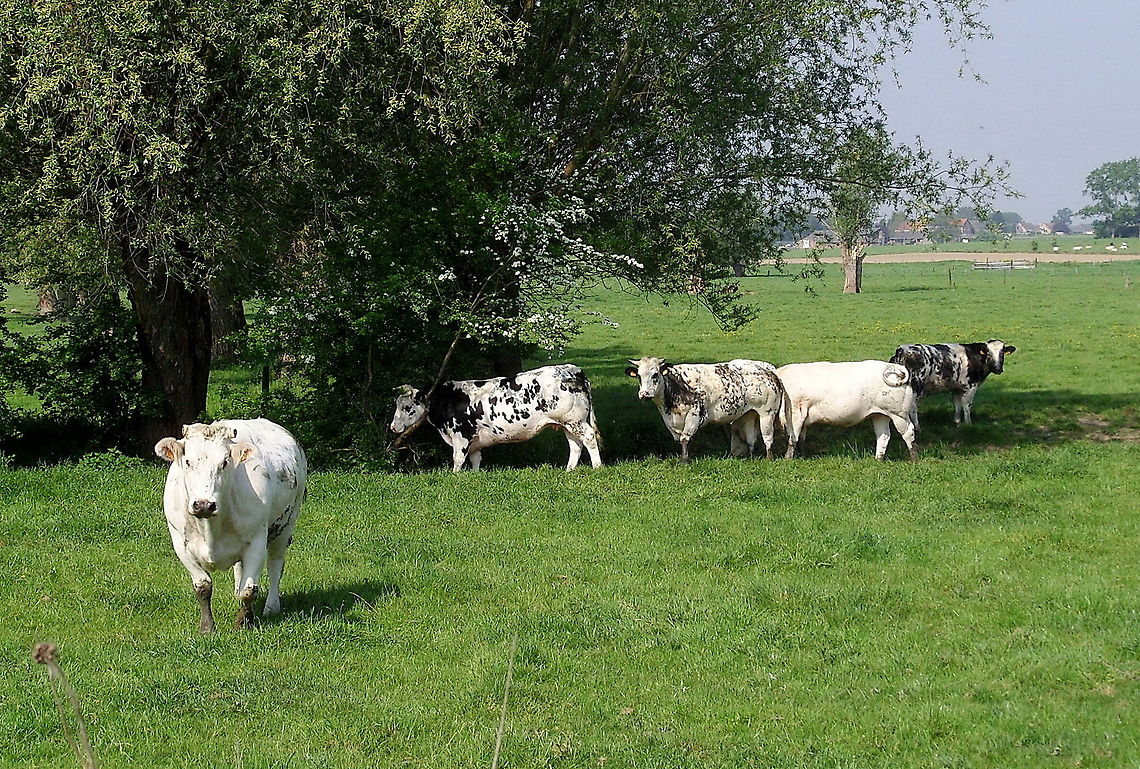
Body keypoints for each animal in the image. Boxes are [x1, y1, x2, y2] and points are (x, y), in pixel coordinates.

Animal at [155, 419, 307, 632]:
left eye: (225, 463)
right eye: (188, 462)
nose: (204, 504)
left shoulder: (256, 541)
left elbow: (249, 590)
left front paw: (243, 623)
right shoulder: (181, 544)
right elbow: (203, 586)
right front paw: (207, 627)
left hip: (286, 525)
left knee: (275, 565)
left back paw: (271, 606)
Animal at [390, 364, 602, 472]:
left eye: (406, 407)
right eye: (397, 405)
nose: (393, 427)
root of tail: (572, 370)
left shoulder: (461, 435)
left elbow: (458, 458)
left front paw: (455, 476)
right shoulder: (475, 439)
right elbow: (476, 458)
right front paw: (473, 476)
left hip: (575, 421)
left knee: (589, 438)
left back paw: (597, 467)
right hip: (568, 423)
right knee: (575, 445)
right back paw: (569, 471)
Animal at [625, 357, 786, 462]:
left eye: (655, 374)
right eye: (639, 376)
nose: (644, 394)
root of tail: (767, 370)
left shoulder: (695, 415)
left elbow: (684, 439)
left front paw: (684, 461)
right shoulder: (669, 421)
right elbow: (679, 439)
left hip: (767, 413)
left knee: (767, 437)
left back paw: (769, 458)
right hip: (749, 413)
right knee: (751, 437)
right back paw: (752, 457)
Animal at [776, 360, 919, 460]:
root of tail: (895, 368)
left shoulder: (796, 413)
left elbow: (793, 437)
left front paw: (787, 459)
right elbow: (801, 438)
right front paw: (802, 457)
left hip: (899, 414)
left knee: (908, 432)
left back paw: (914, 459)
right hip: (880, 415)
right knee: (883, 435)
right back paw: (878, 459)